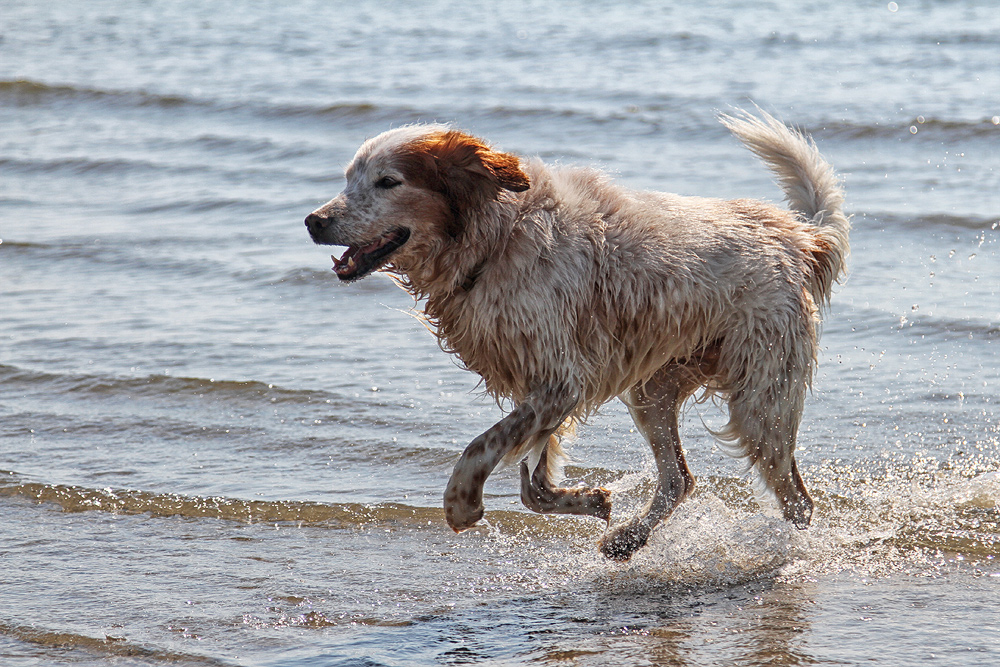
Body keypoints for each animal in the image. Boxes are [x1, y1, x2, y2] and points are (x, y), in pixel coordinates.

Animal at [302, 112, 844, 560]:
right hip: (652, 392)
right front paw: (592, 500)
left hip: (761, 404)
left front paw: (462, 504)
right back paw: (630, 538)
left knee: (797, 501)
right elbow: (533, 488)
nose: (313, 221)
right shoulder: (540, 384)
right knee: (679, 480)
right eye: (349, 179)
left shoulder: (561, 382)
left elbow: (480, 449)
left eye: (388, 181)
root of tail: (800, 239)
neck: (497, 240)